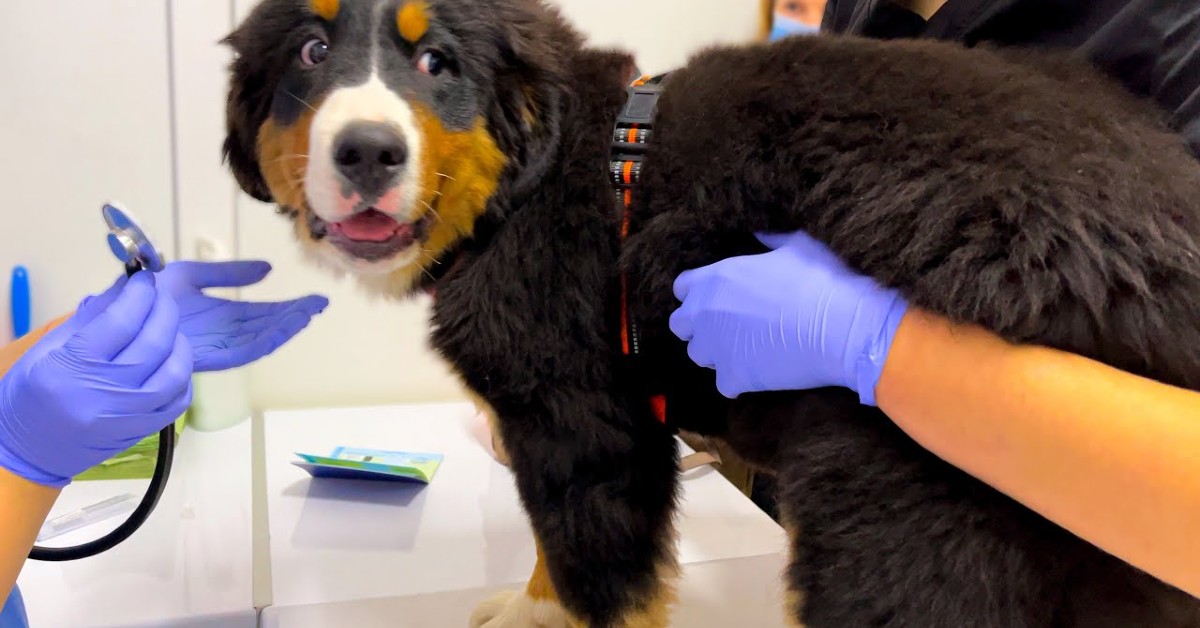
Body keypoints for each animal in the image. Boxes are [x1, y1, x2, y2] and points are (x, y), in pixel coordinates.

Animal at [223, 1, 1200, 628]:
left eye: (436, 64)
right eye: (312, 53)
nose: (368, 153)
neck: (529, 175)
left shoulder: (582, 420)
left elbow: (583, 566)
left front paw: (536, 614)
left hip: (912, 496)